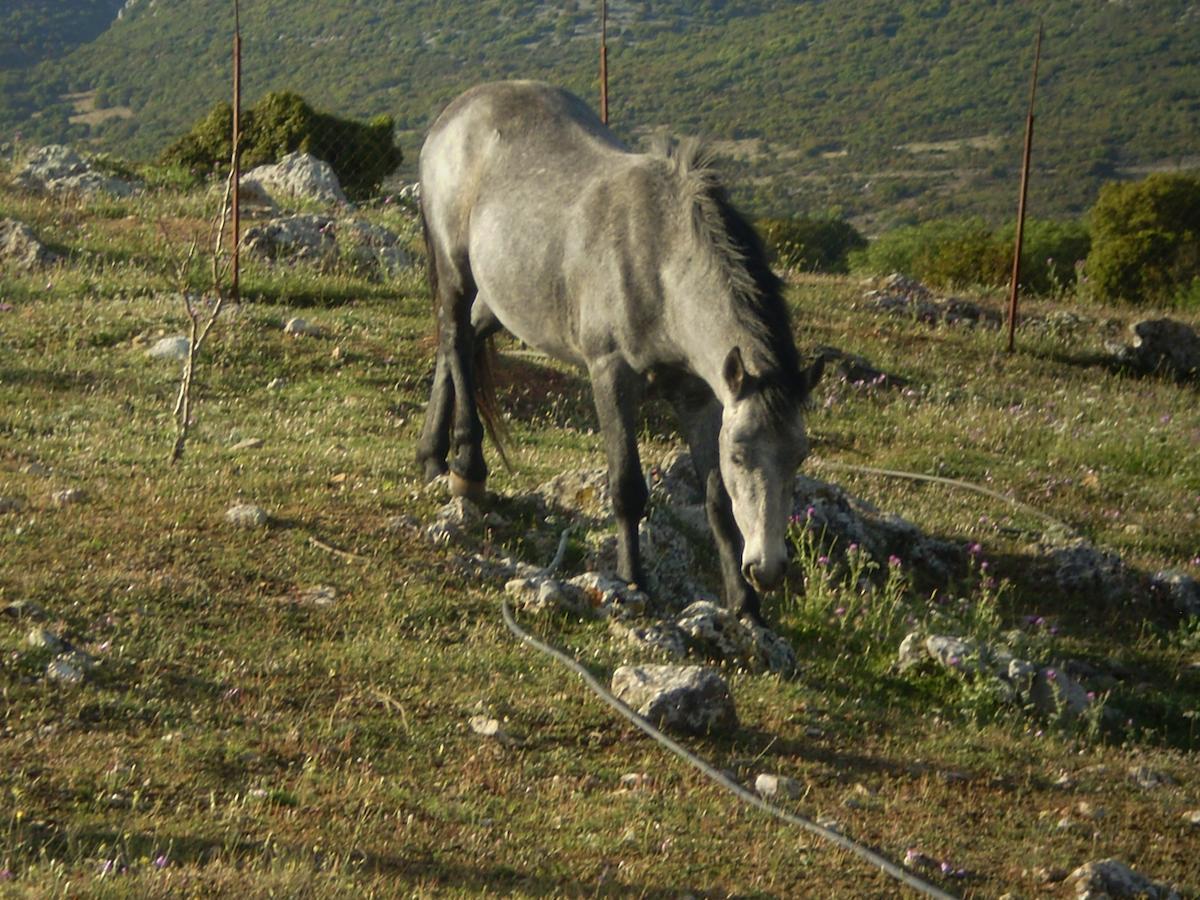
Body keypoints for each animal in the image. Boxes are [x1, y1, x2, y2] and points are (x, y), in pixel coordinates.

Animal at [417, 81, 820, 624]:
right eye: (740, 455)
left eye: (799, 456)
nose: (769, 568)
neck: (662, 261)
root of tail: (454, 112)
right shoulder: (610, 374)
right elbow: (628, 486)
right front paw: (632, 582)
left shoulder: (703, 395)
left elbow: (716, 501)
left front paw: (743, 604)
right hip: (456, 269)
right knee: (457, 342)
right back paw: (466, 467)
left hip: (500, 295)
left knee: (456, 344)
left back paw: (431, 456)